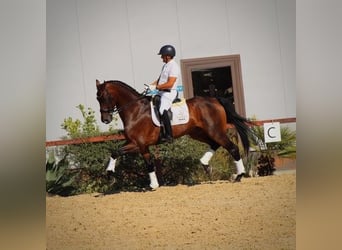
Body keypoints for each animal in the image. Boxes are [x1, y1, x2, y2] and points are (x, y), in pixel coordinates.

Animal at [96, 79, 254, 188]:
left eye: (103, 97)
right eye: (97, 98)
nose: (105, 120)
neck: (135, 110)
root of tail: (215, 99)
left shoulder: (138, 143)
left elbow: (117, 152)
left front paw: (110, 174)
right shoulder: (138, 145)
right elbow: (146, 163)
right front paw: (154, 185)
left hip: (214, 131)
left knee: (232, 148)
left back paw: (239, 175)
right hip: (198, 133)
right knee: (215, 144)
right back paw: (205, 164)